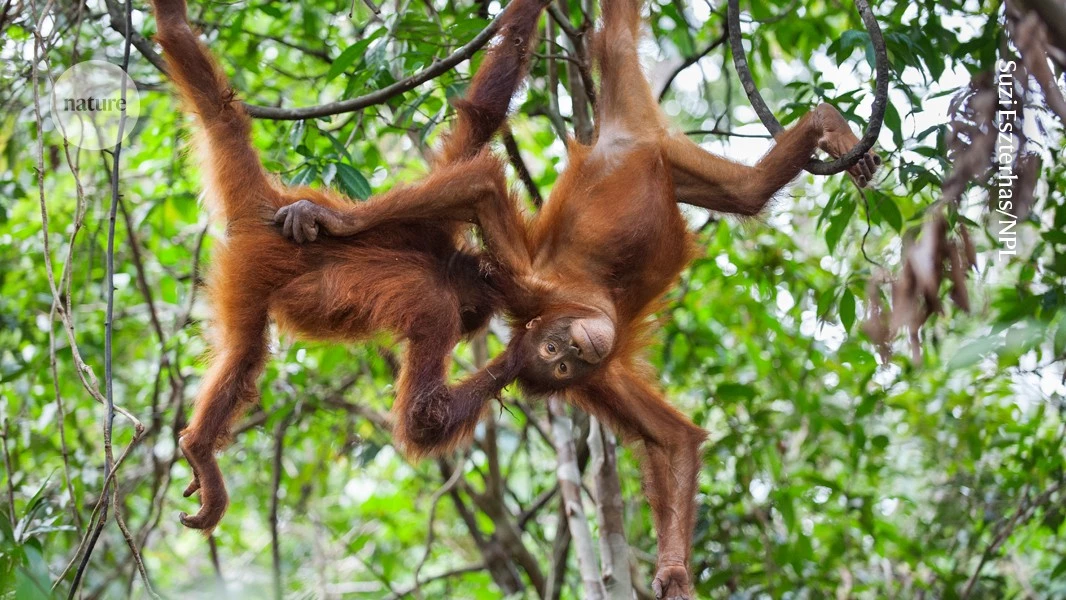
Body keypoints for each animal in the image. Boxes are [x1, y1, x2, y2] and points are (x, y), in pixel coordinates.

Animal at [148, 0, 550, 532]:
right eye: (466, 319)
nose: (469, 330)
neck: (440, 266)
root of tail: (264, 205)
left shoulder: (433, 229)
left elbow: (475, 128)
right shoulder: (436, 306)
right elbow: (422, 418)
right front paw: (526, 349)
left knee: (220, 111)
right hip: (248, 272)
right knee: (246, 353)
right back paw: (199, 448)